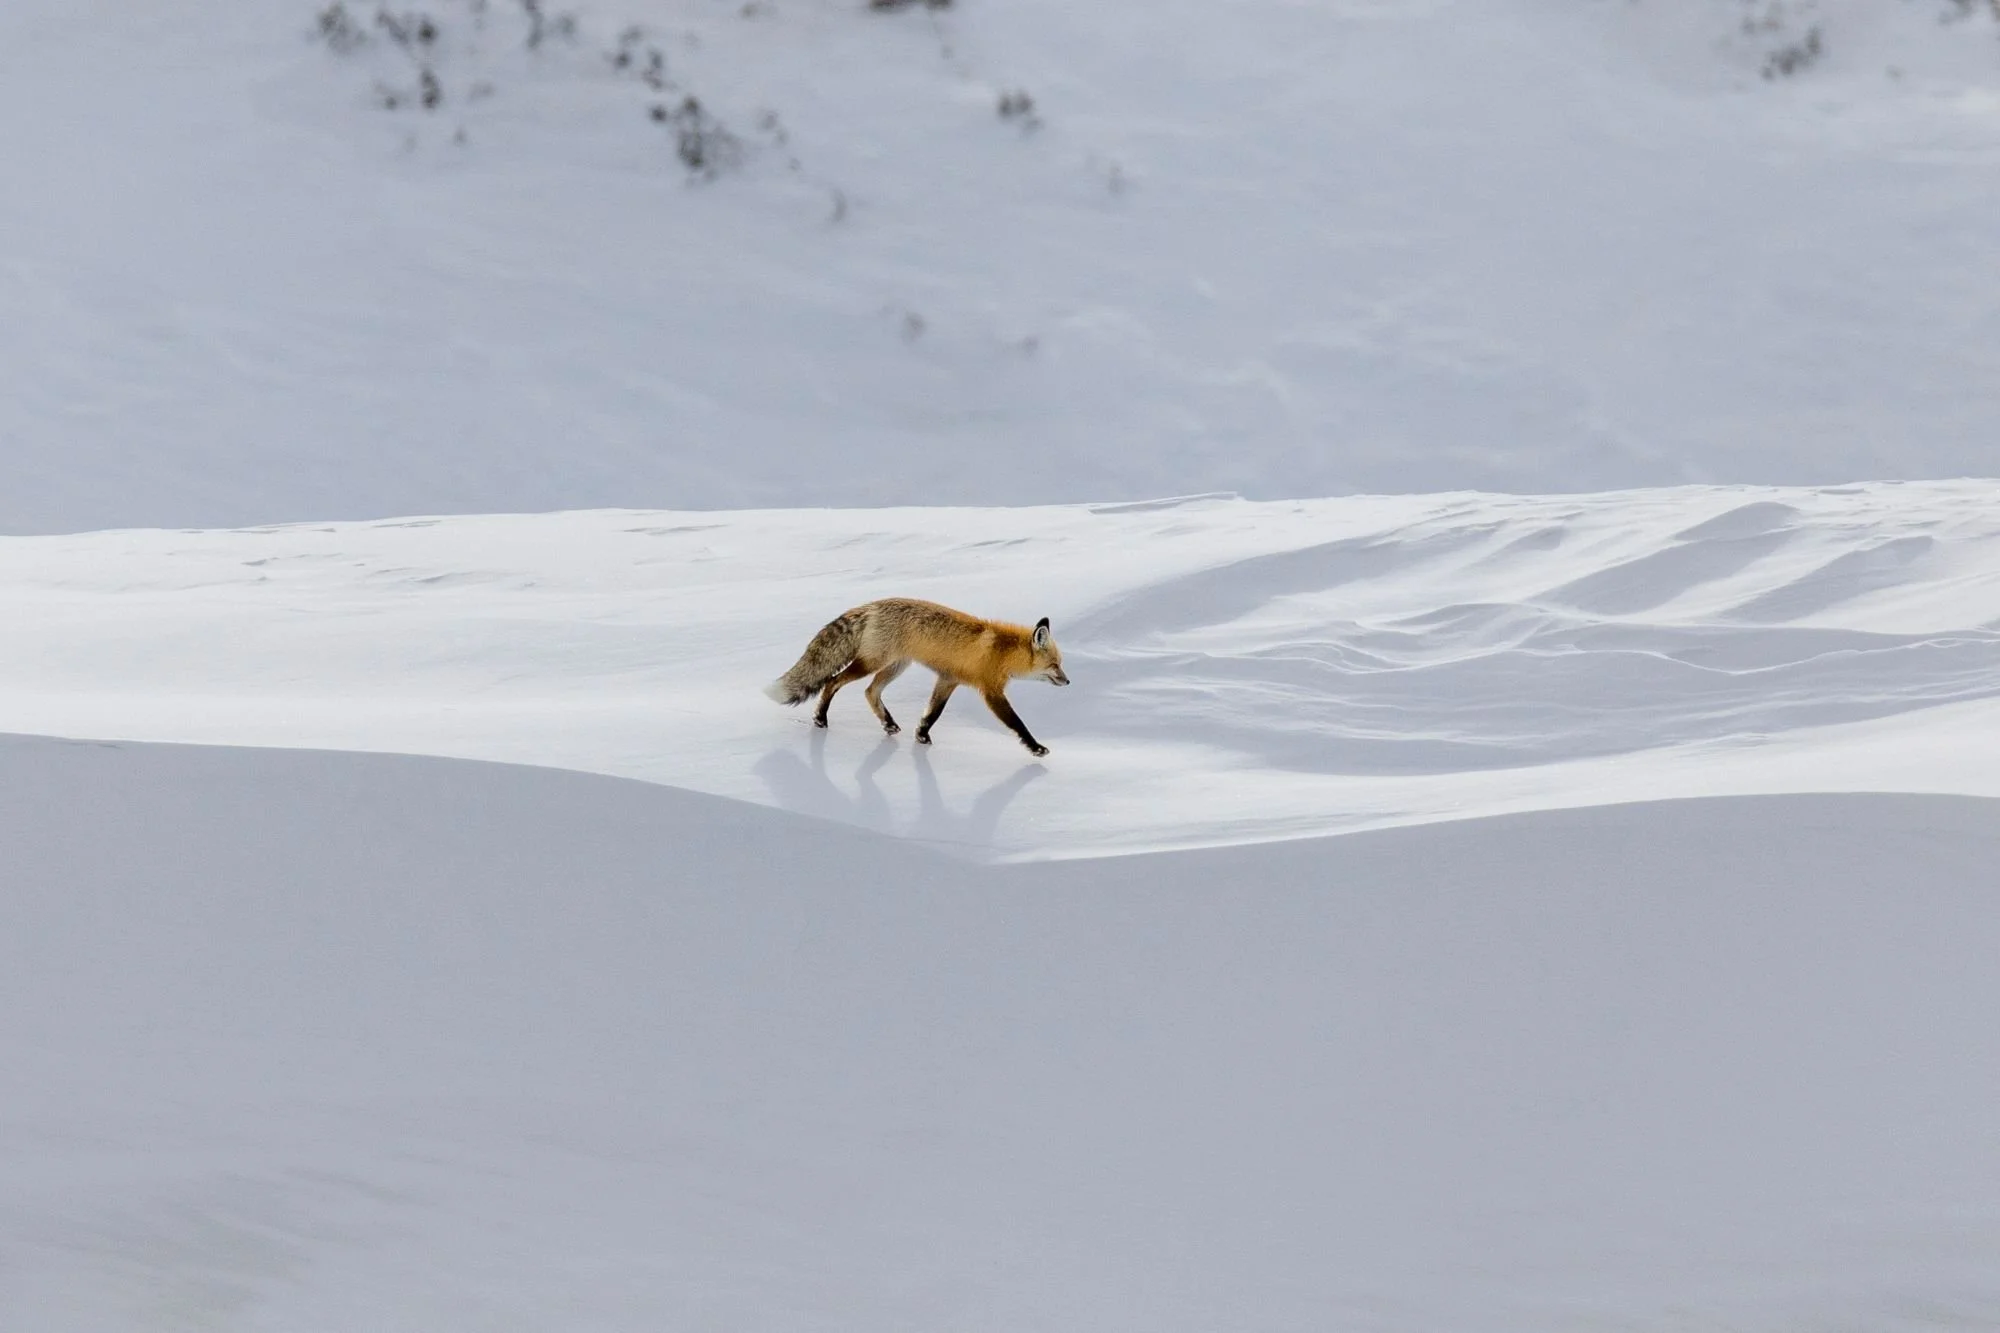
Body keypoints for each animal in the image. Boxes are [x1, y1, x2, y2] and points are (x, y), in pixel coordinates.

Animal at [764, 598, 1070, 756]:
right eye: (1055, 665)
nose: (1068, 682)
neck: (1003, 651)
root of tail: (873, 605)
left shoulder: (948, 680)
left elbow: (932, 713)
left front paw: (921, 736)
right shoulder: (991, 691)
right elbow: (1017, 723)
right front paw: (1035, 747)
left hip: (896, 666)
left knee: (870, 692)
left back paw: (888, 724)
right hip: (872, 663)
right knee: (832, 682)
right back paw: (820, 718)